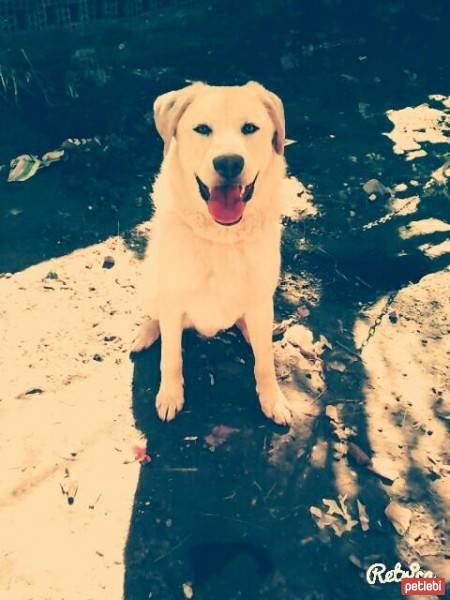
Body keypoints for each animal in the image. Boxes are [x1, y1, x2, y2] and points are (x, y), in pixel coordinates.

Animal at [132, 81, 292, 426]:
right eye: (202, 129)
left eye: (250, 128)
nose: (229, 162)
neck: (222, 237)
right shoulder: (173, 302)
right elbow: (171, 357)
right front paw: (170, 396)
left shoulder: (260, 299)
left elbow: (264, 362)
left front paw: (272, 399)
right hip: (151, 285)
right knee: (157, 319)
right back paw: (147, 333)